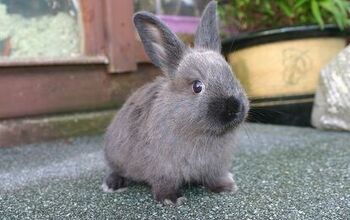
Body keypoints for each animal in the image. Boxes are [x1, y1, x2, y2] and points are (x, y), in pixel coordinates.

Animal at [102, 0, 250, 205]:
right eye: (197, 86)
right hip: (116, 155)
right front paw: (171, 199)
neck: (202, 133)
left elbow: (215, 178)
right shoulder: (163, 169)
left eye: (231, 74)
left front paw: (226, 188)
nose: (235, 108)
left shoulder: (216, 167)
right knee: (116, 170)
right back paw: (113, 184)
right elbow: (165, 183)